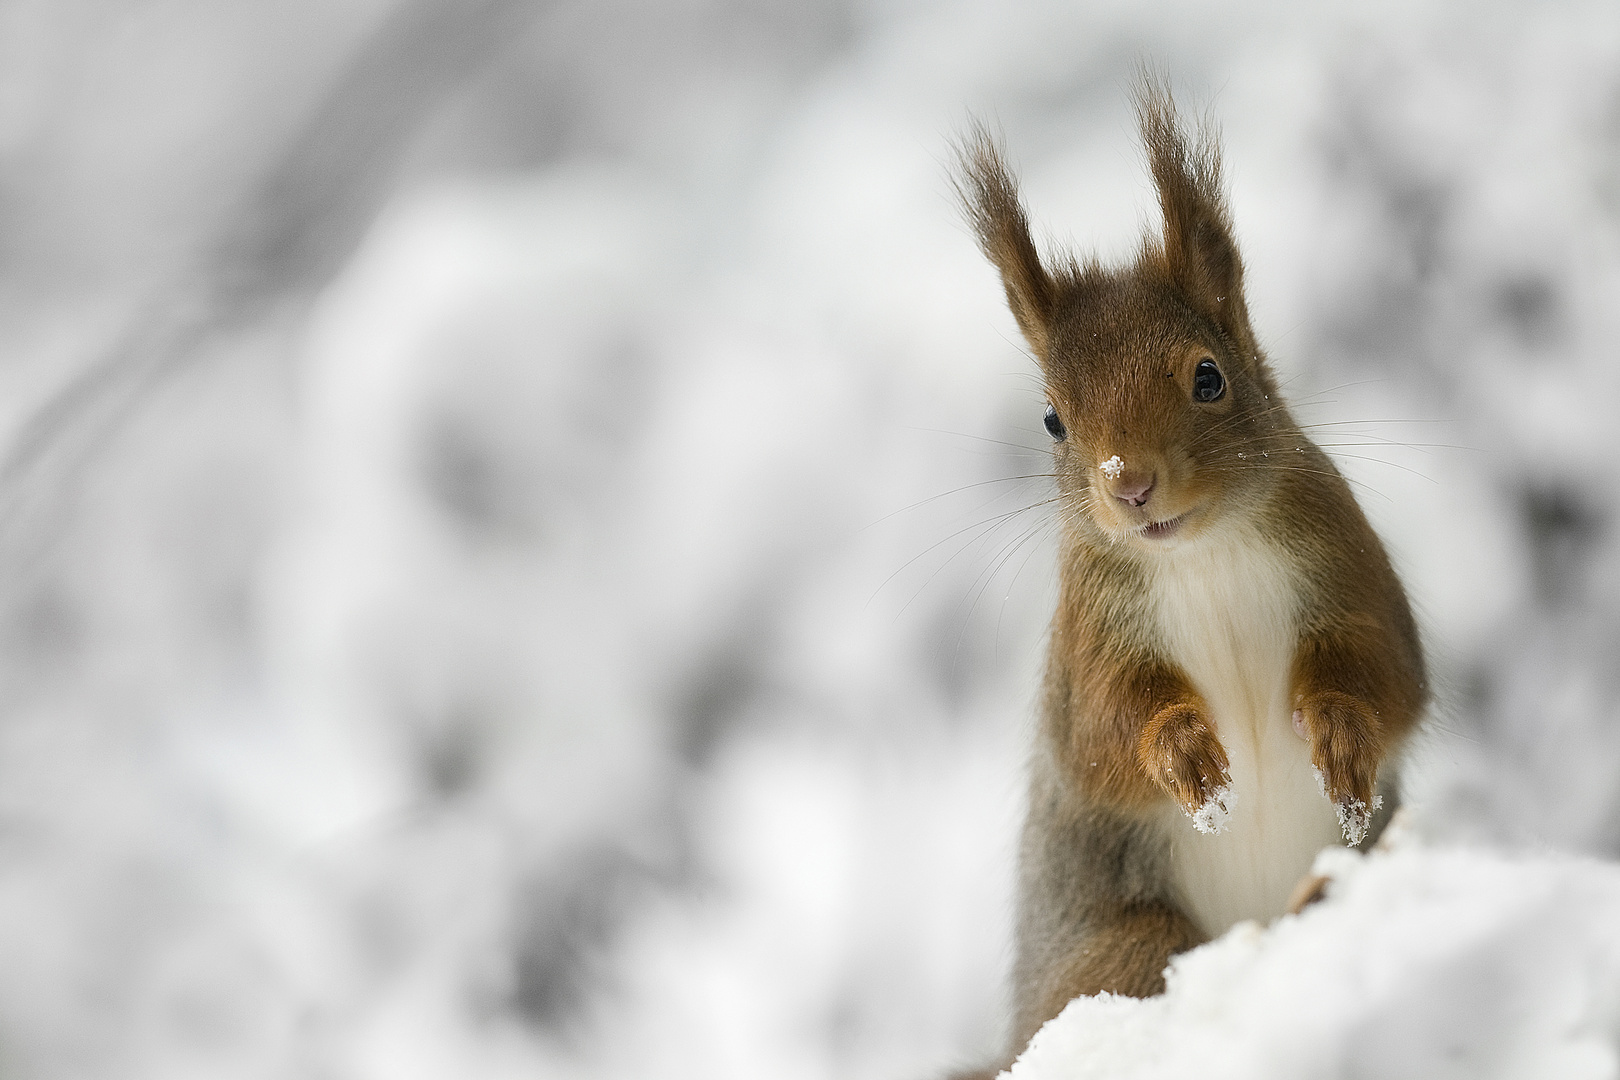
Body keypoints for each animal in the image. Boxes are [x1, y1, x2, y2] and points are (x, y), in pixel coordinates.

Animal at [946, 82, 1432, 1075]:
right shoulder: (1087, 644)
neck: (1201, 552)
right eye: (1053, 420)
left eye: (1209, 378)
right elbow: (1102, 736)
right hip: (1131, 942)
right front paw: (1187, 755)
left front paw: (1339, 733)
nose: (1129, 485)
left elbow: (1388, 675)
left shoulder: (1352, 575)